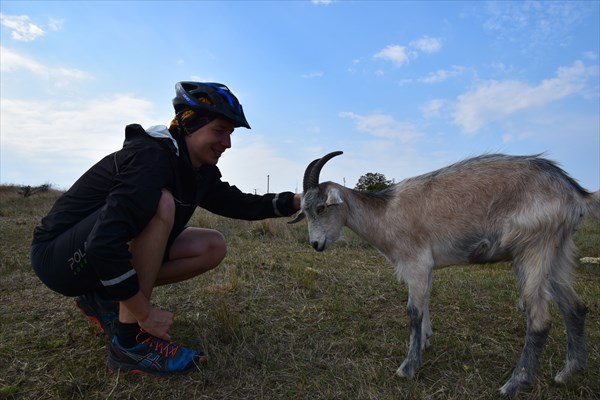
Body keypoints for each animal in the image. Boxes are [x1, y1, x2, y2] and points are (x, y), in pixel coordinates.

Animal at [292, 152, 600, 398]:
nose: (316, 244)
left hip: (533, 250)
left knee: (539, 319)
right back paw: (568, 373)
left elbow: (413, 310)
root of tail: (575, 194)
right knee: (575, 307)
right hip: (557, 253)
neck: (386, 213)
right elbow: (425, 304)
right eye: (304, 210)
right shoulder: (425, 269)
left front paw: (408, 367)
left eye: (321, 207)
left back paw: (514, 384)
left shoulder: (416, 263)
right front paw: (426, 341)